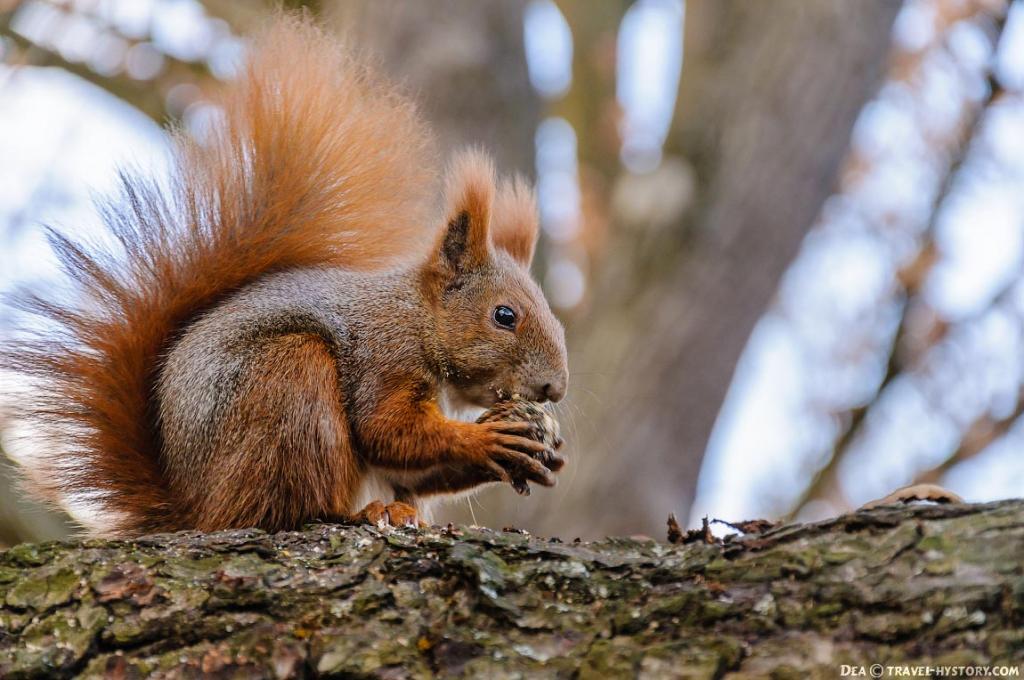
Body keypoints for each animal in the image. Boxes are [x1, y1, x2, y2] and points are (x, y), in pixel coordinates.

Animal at [2, 13, 569, 540]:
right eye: (504, 315)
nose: (554, 389)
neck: (419, 317)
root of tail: (196, 509)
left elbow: (413, 466)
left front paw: (539, 450)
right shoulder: (385, 354)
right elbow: (387, 429)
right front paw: (488, 439)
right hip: (289, 381)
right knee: (288, 507)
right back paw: (358, 511)